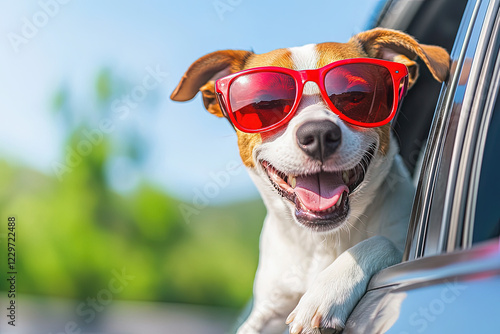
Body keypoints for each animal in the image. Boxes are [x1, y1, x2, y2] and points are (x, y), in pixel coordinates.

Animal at [171, 27, 450, 332]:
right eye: (264, 103)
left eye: (355, 96)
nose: (318, 134)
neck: (320, 241)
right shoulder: (269, 309)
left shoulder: (395, 240)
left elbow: (380, 242)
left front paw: (326, 292)